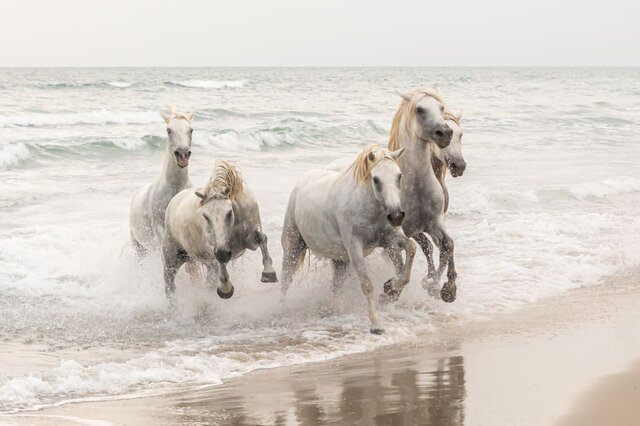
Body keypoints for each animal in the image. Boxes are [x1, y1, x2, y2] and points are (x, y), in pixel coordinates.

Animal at [162, 160, 276, 300]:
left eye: (229, 212)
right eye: (205, 216)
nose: (223, 253)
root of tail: (174, 201)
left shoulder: (249, 241)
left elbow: (262, 238)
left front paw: (269, 273)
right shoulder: (214, 248)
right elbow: (220, 263)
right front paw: (225, 289)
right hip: (171, 260)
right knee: (170, 288)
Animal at [280, 145, 416, 334]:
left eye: (399, 176)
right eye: (376, 179)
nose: (396, 216)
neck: (368, 208)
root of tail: (301, 182)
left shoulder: (389, 240)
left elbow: (411, 249)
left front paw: (390, 288)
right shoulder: (355, 248)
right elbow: (367, 285)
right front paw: (376, 325)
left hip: (340, 260)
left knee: (335, 286)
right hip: (293, 246)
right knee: (286, 279)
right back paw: (281, 311)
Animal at [382, 90, 462, 302]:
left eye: (441, 108)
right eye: (419, 109)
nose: (445, 133)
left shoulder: (433, 223)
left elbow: (447, 245)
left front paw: (446, 289)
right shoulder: (404, 230)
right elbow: (409, 255)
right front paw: (393, 287)